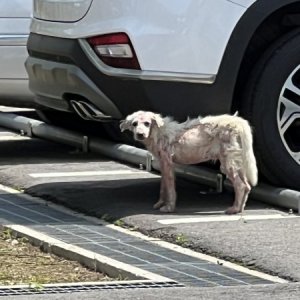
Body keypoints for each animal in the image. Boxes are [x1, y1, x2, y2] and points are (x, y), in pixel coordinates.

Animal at [119, 110, 258, 213]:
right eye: (134, 124)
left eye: (147, 123)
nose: (140, 135)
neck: (158, 133)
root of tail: (237, 121)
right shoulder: (163, 165)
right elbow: (163, 187)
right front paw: (159, 203)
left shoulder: (168, 164)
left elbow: (170, 189)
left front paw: (169, 208)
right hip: (236, 161)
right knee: (247, 185)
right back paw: (240, 209)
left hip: (228, 163)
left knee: (241, 185)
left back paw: (234, 209)